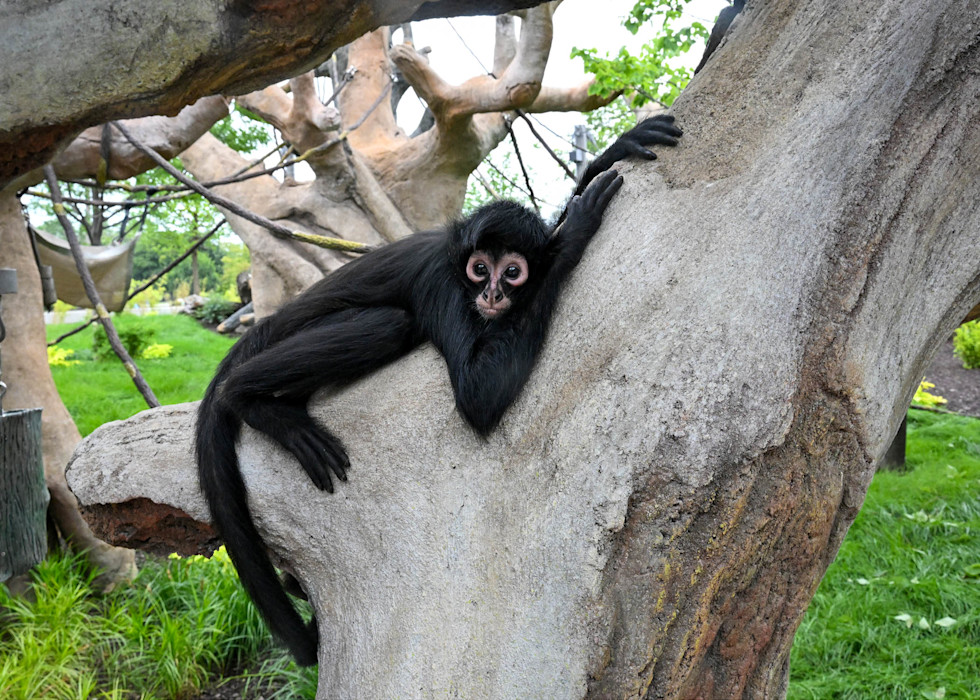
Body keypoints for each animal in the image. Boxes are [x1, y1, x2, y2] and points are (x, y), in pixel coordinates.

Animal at [195, 115, 683, 665]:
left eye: (512, 271)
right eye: (480, 269)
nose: (492, 294)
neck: (458, 263)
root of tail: (268, 323)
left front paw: (613, 151)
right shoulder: (441, 283)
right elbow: (477, 397)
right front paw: (573, 235)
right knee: (390, 323)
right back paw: (250, 398)